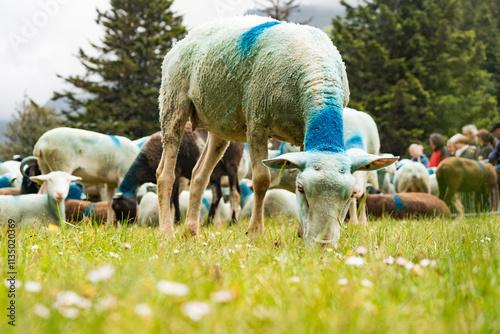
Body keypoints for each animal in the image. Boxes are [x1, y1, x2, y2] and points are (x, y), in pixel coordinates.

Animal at [157, 15, 398, 245]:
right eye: (301, 189)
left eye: (350, 194)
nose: (323, 245)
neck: (317, 71)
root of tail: (185, 39)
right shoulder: (257, 124)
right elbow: (261, 180)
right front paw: (255, 233)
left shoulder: (303, 137)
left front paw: (300, 233)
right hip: (173, 101)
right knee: (164, 174)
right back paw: (167, 234)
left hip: (220, 124)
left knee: (199, 175)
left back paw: (191, 233)